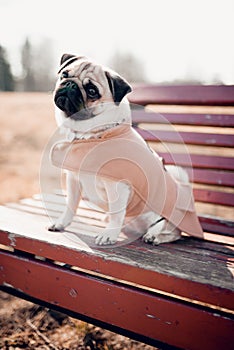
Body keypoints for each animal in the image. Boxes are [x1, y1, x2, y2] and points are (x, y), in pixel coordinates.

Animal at [49, 54, 203, 246]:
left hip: (164, 218)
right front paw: (62, 223)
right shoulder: (73, 179)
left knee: (172, 232)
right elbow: (71, 205)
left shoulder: (117, 186)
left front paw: (109, 234)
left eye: (92, 91)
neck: (91, 137)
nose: (70, 84)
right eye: (64, 74)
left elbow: (116, 213)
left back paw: (154, 236)